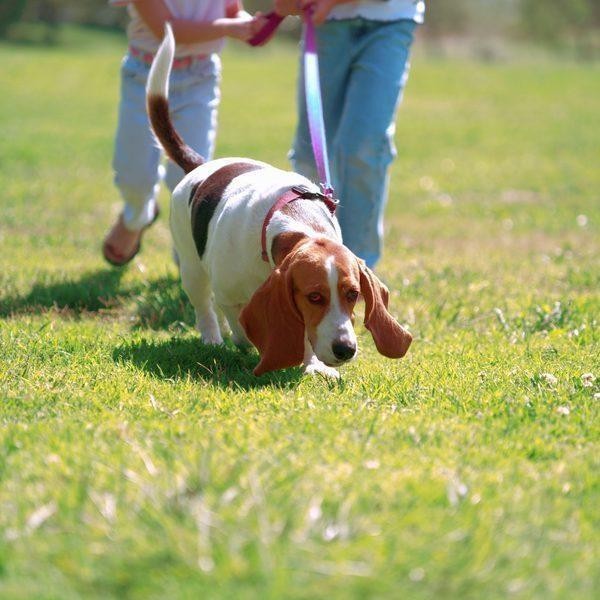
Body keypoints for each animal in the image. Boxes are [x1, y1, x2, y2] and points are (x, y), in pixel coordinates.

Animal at [144, 25, 412, 378]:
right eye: (314, 296)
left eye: (353, 294)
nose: (346, 349)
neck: (294, 221)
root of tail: (201, 165)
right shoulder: (230, 296)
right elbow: (244, 324)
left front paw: (313, 366)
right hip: (191, 267)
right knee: (205, 307)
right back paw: (214, 339)